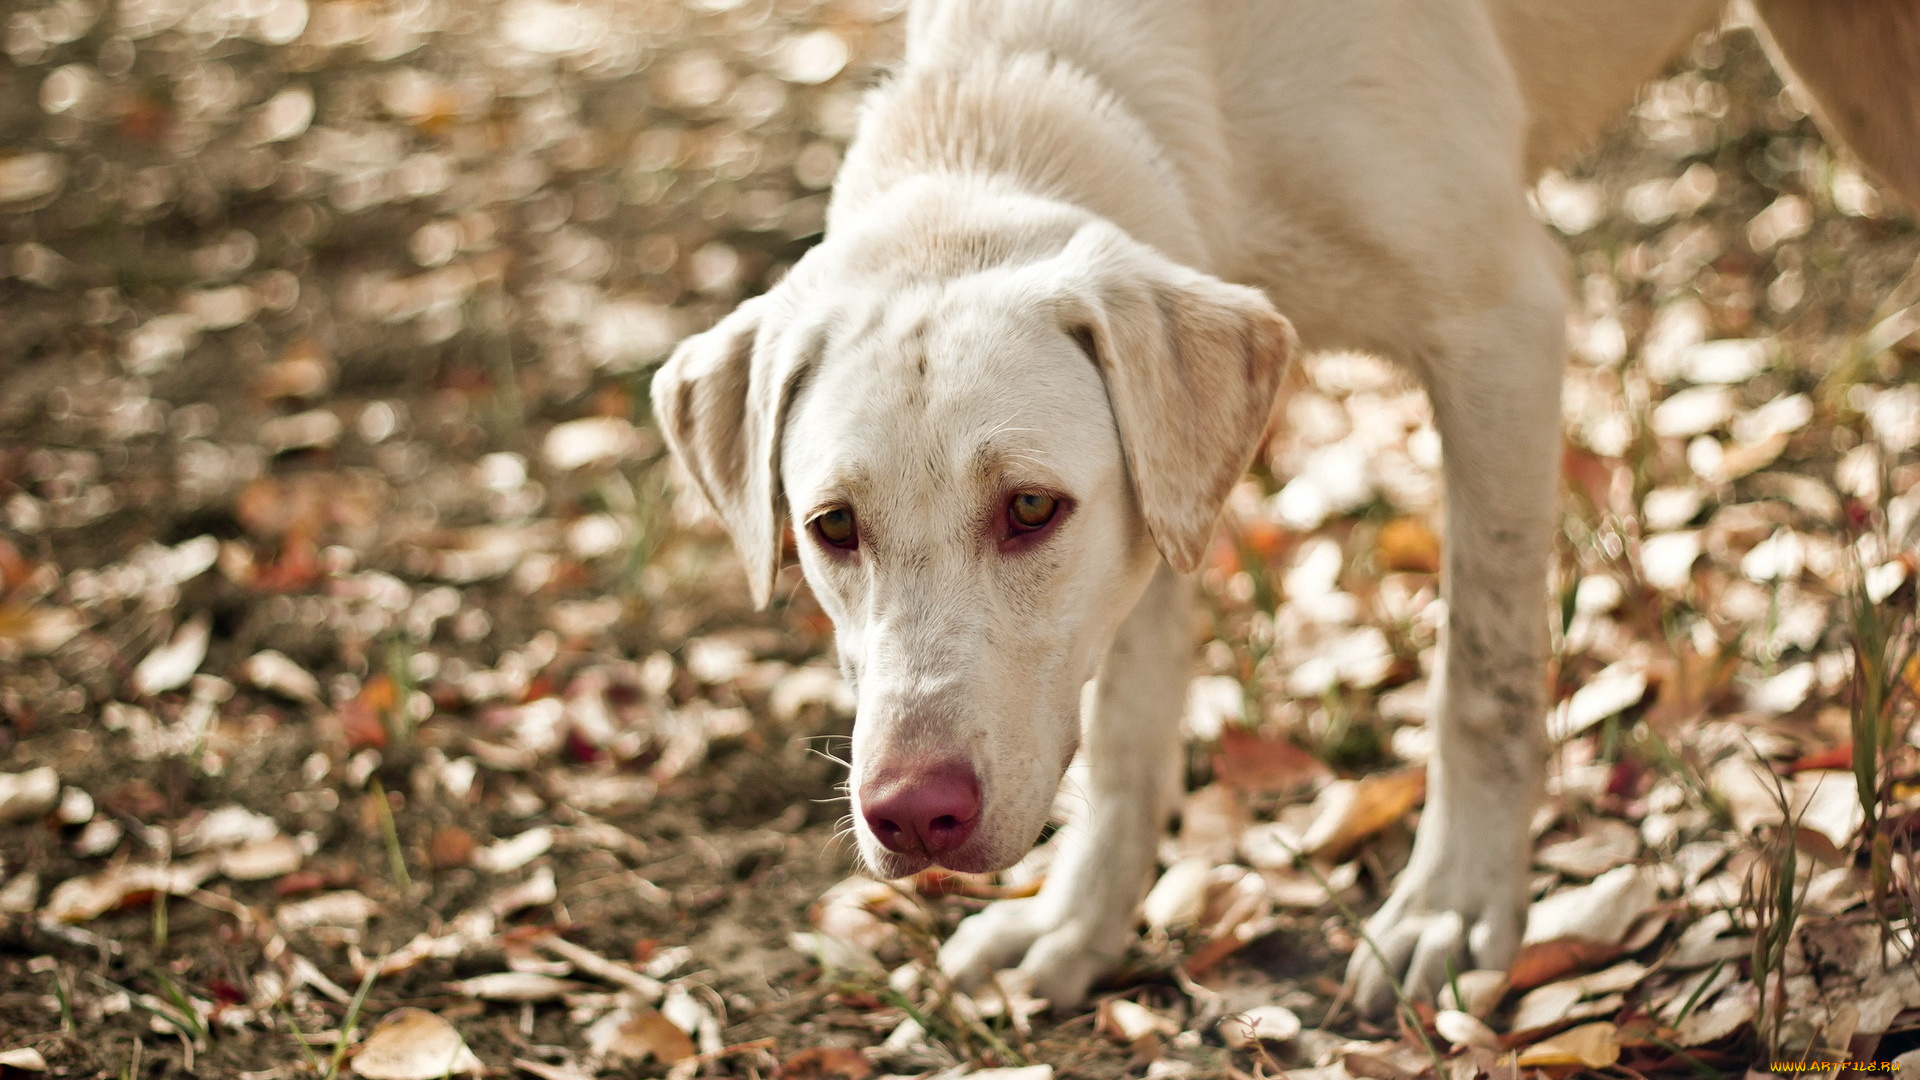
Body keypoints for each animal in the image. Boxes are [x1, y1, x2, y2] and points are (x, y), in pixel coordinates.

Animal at [652, 0, 1912, 1006]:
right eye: (832, 530)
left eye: (1029, 510)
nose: (914, 817)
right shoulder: (1161, 493)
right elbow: (1131, 731)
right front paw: (1080, 921)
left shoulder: (1500, 327)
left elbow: (1481, 676)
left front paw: (1456, 905)